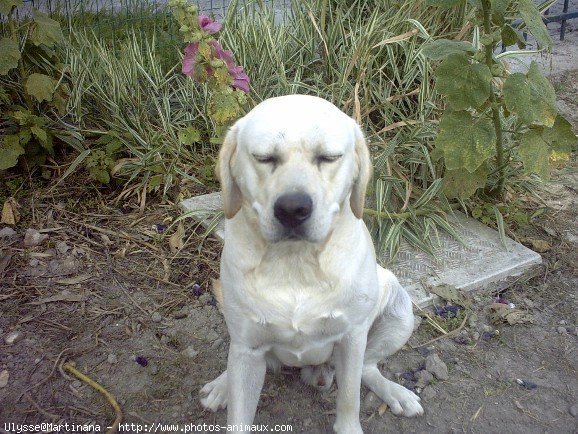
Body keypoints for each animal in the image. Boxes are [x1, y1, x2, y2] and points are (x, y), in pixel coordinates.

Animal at [200, 96, 420, 434]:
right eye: (264, 158)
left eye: (328, 157)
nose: (293, 208)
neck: (295, 263)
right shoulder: (248, 347)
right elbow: (238, 416)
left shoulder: (351, 338)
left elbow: (350, 398)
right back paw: (223, 385)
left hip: (399, 311)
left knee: (367, 368)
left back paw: (395, 392)